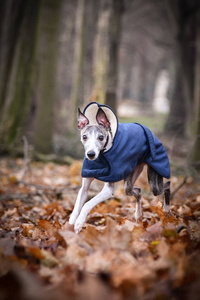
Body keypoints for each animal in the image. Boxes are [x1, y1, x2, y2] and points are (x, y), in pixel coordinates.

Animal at [69, 102, 170, 233]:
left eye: (101, 137)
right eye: (84, 137)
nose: (91, 154)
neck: (101, 157)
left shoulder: (108, 190)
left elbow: (87, 204)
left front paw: (79, 222)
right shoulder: (85, 186)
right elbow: (78, 204)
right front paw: (71, 223)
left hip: (154, 183)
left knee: (167, 184)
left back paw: (167, 209)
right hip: (130, 180)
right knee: (137, 191)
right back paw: (138, 215)